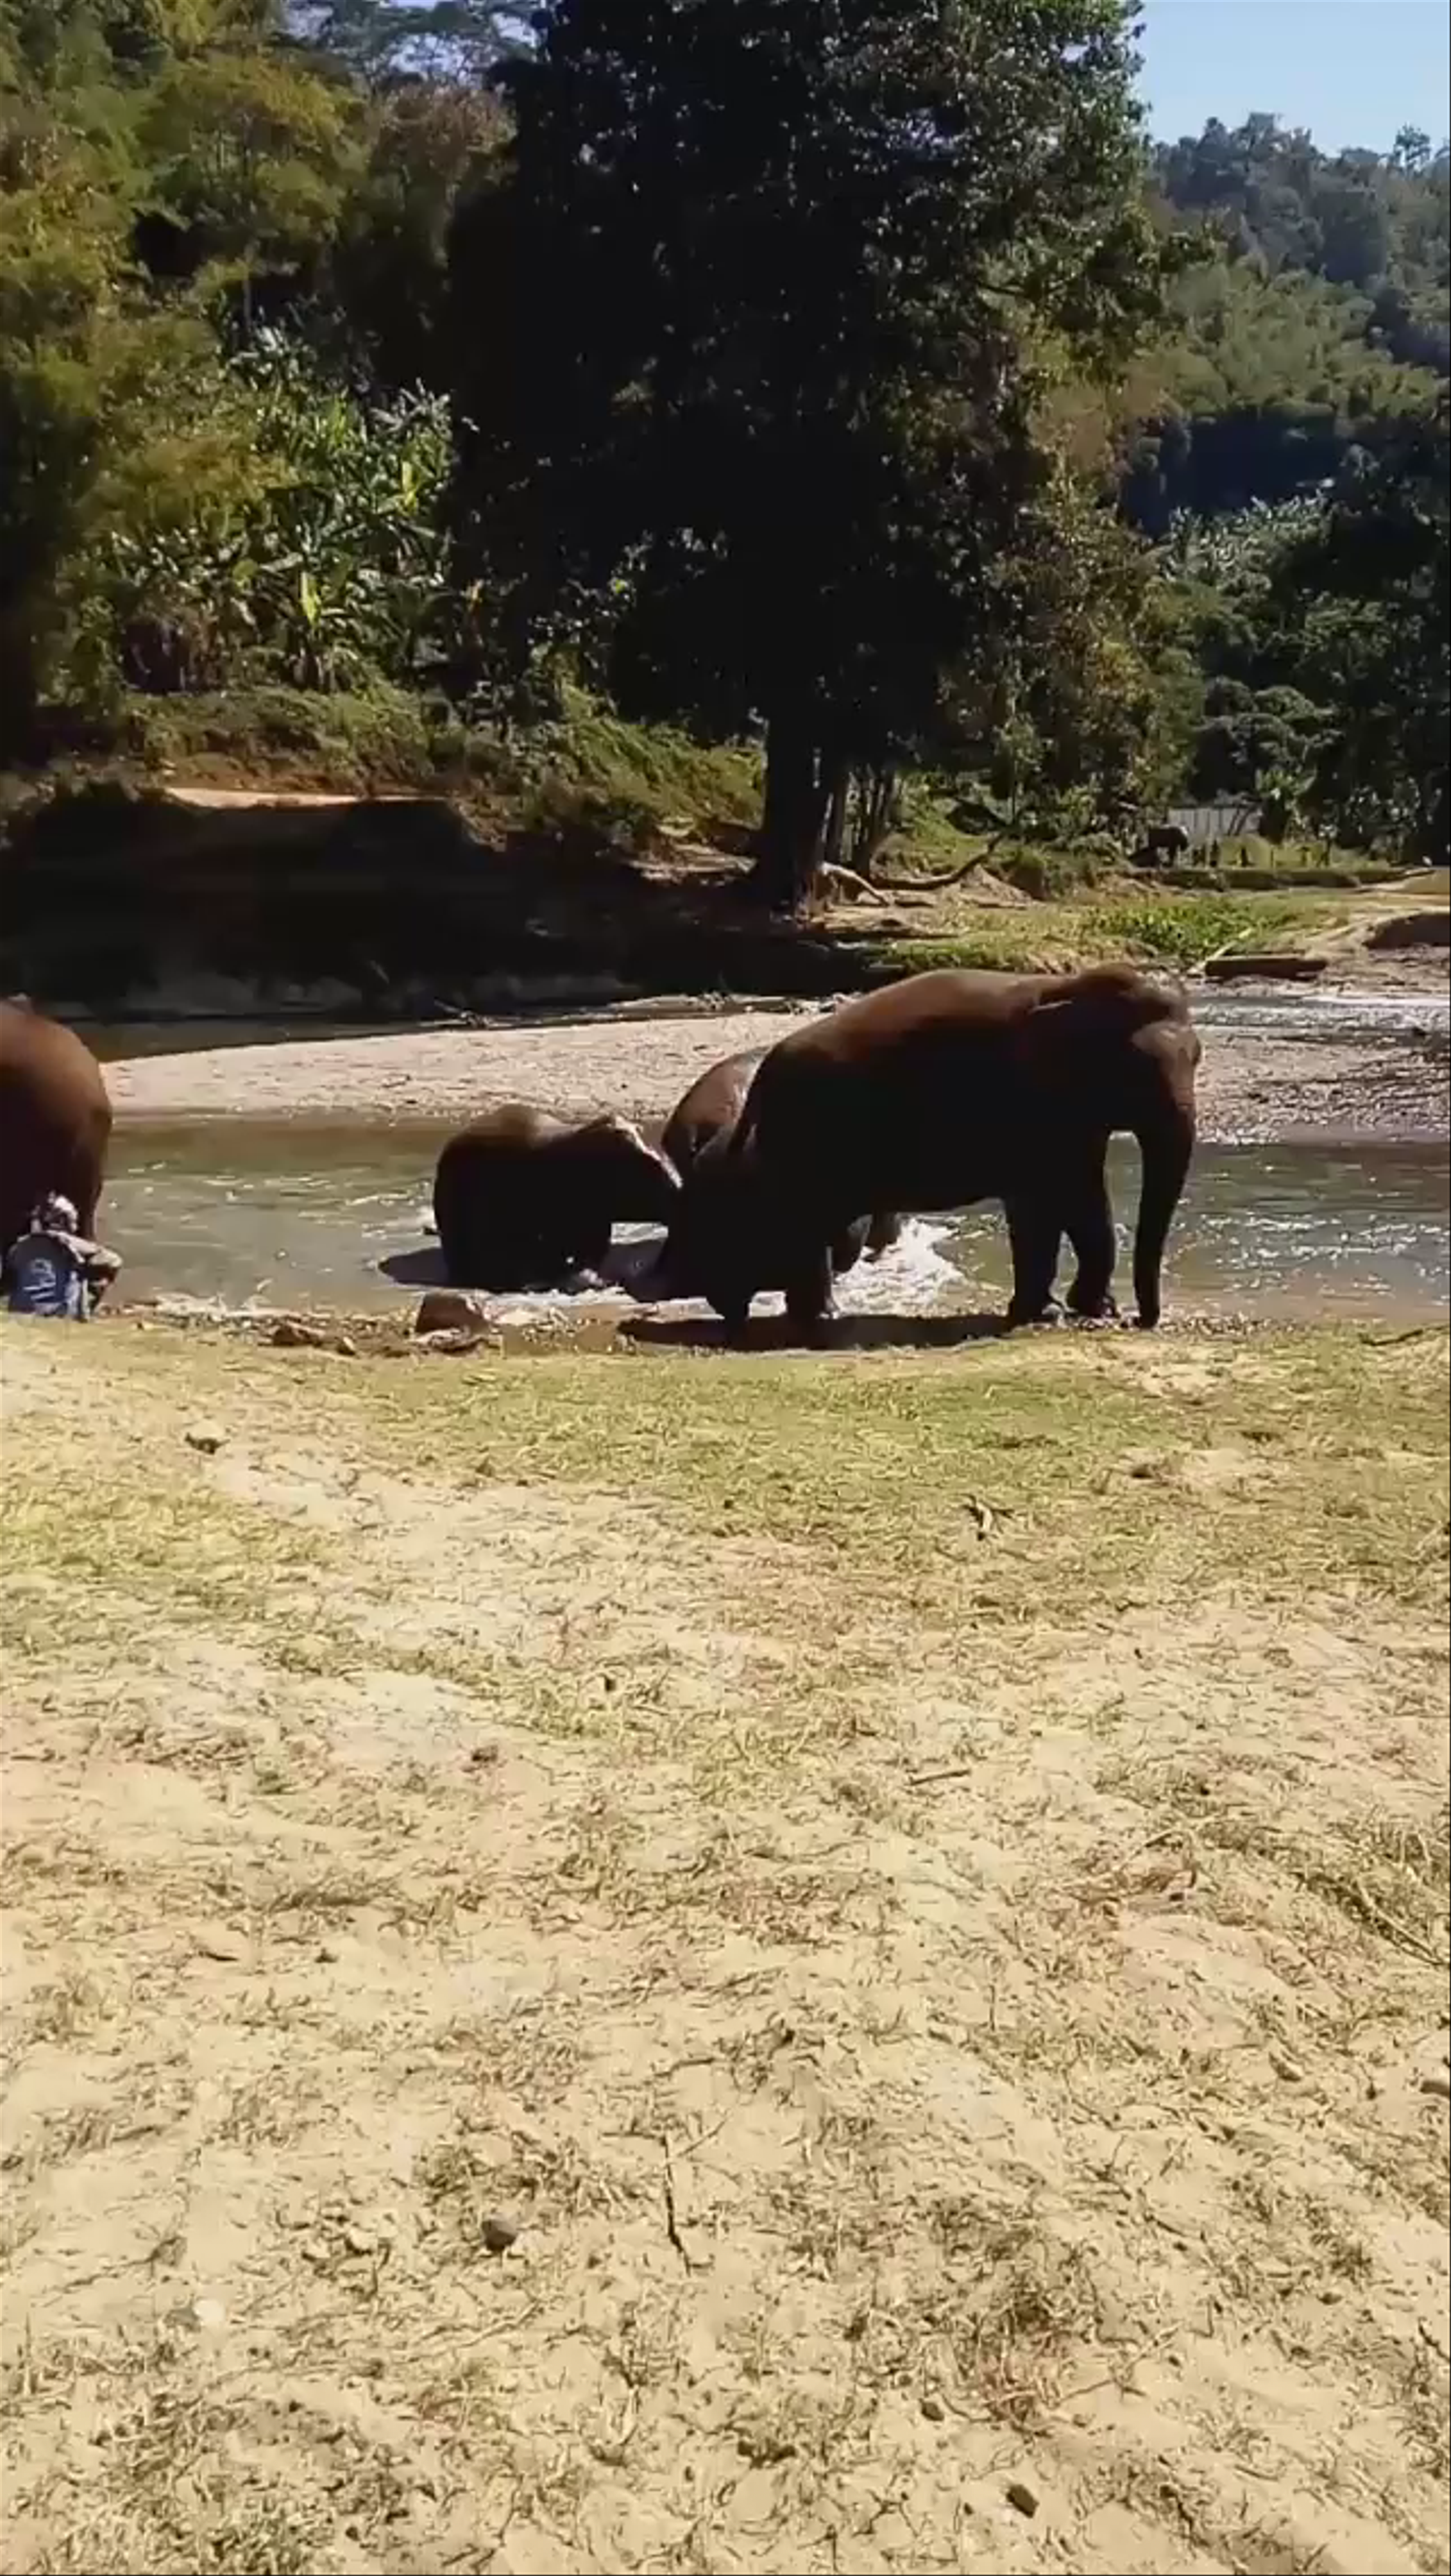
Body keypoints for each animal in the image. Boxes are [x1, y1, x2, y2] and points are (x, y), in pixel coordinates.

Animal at [696, 964, 1199, 1338]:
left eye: (1198, 1058)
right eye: (1137, 1075)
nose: (1140, 1321)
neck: (1065, 990)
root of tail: (764, 1072)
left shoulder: (1072, 1117)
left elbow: (1085, 1199)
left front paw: (1091, 1309)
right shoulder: (1026, 1109)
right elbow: (1044, 1203)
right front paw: (1048, 1314)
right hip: (804, 1136)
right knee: (805, 1222)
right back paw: (815, 1318)